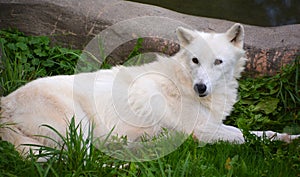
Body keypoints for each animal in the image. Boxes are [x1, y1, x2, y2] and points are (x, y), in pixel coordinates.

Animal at [0, 22, 298, 156]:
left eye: (218, 61)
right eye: (195, 60)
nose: (201, 87)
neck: (183, 83)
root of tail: (6, 103)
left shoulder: (212, 124)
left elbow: (257, 132)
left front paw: (289, 138)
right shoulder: (201, 132)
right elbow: (244, 137)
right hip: (78, 128)